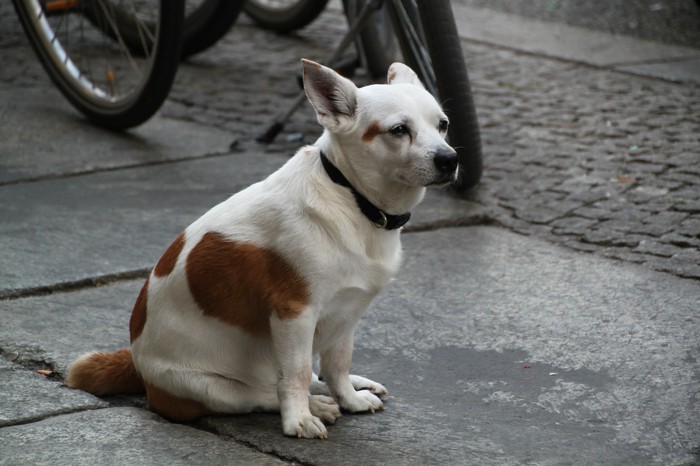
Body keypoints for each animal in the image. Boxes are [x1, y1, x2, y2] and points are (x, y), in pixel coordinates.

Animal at [65, 57, 460, 436]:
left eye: (442, 124)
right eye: (398, 130)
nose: (450, 159)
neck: (351, 196)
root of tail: (137, 366)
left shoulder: (346, 314)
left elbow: (337, 364)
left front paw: (349, 397)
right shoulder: (294, 314)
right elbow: (295, 376)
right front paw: (298, 420)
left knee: (307, 377)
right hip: (209, 389)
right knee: (264, 393)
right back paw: (314, 406)